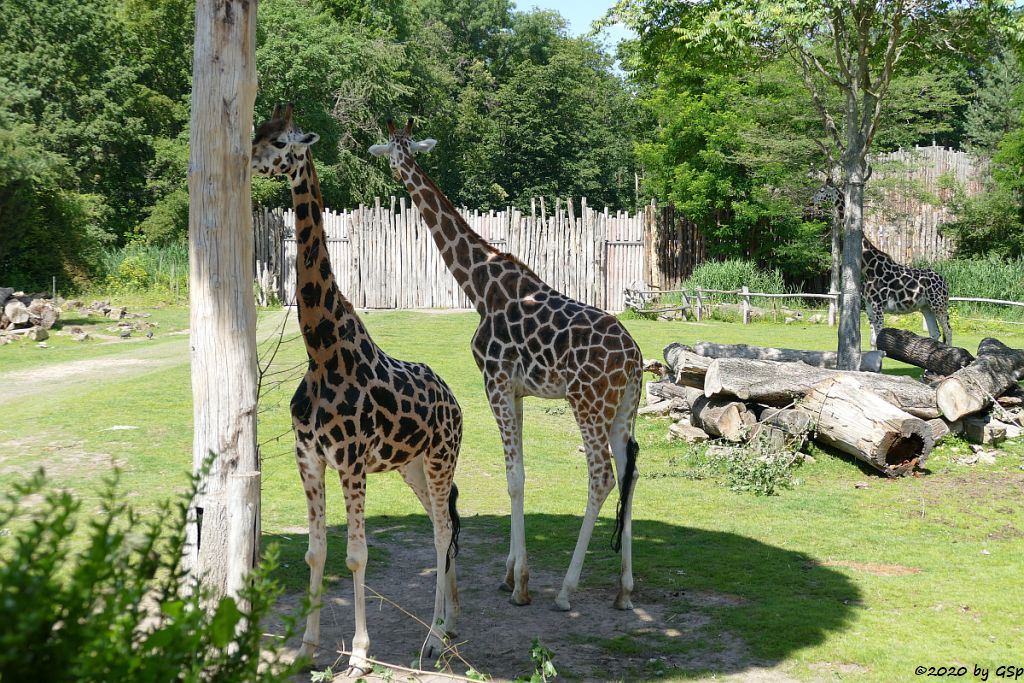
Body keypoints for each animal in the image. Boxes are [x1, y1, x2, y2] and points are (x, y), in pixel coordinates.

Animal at [253, 104, 462, 675]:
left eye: (281, 141)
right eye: (257, 132)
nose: (247, 160)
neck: (322, 352)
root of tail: (455, 400)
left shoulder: (350, 461)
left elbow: (355, 555)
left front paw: (361, 655)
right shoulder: (308, 457)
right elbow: (316, 552)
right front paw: (305, 648)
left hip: (441, 457)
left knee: (442, 531)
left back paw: (434, 638)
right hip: (413, 465)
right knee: (443, 522)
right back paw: (452, 623)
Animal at [368, 118, 638, 614]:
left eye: (397, 150)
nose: (397, 169)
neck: (480, 286)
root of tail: (634, 358)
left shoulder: (493, 382)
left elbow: (514, 479)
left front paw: (521, 585)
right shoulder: (518, 390)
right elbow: (521, 474)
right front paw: (510, 572)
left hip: (587, 403)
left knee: (602, 476)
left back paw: (566, 591)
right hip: (623, 409)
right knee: (630, 473)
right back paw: (624, 591)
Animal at [811, 180, 954, 348]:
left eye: (821, 190)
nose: (812, 201)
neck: (868, 268)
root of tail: (945, 281)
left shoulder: (878, 306)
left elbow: (879, 339)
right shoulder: (869, 308)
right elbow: (873, 341)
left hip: (939, 304)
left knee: (948, 331)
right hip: (926, 307)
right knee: (935, 333)